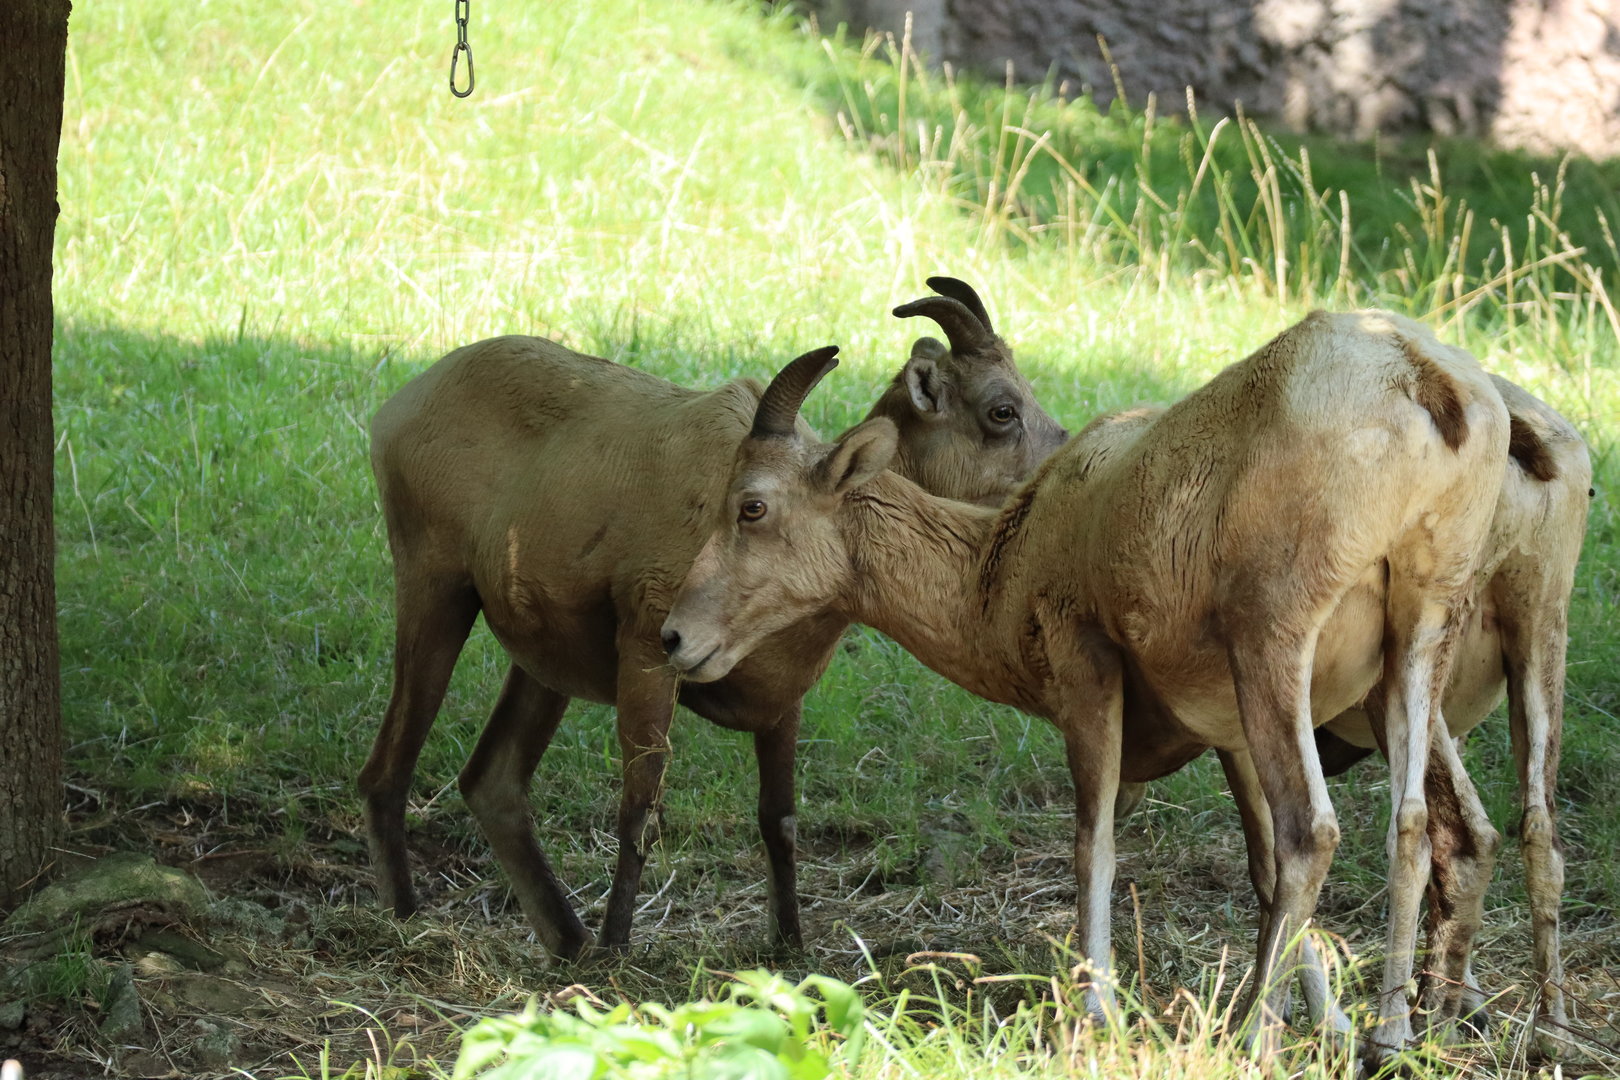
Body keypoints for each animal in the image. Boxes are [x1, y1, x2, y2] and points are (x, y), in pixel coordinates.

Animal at [360, 279, 1067, 959]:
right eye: (1002, 410)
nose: (1065, 482)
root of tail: (401, 405)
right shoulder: (649, 658)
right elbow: (640, 807)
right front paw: (619, 951)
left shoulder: (782, 703)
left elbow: (779, 819)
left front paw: (789, 944)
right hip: (435, 597)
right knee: (387, 769)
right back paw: (411, 921)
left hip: (539, 670)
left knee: (493, 782)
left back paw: (567, 941)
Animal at [660, 308, 1510, 1056]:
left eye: (752, 505)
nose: (675, 639)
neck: (1011, 556)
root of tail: (1422, 377)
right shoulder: (1229, 733)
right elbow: (1261, 866)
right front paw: (1330, 1023)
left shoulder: (1086, 666)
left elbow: (1094, 841)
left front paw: (1096, 1010)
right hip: (1414, 638)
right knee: (1408, 823)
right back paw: (1389, 1035)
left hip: (1275, 640)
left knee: (1314, 829)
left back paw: (1251, 1039)